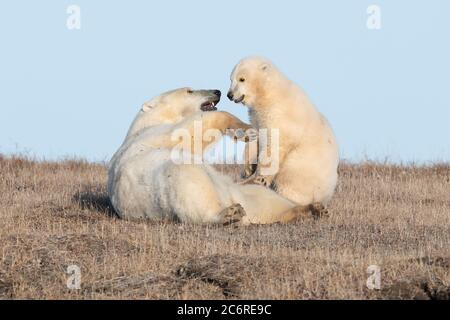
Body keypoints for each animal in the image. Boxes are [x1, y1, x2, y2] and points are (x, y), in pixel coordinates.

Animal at [109, 87, 326, 225]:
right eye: (189, 90)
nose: (217, 91)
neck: (146, 122)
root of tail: (227, 197)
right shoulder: (152, 134)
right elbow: (190, 131)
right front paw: (246, 130)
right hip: (169, 188)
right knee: (190, 184)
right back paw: (229, 213)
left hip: (242, 193)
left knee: (266, 202)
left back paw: (311, 209)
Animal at [227, 57, 340, 206]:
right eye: (231, 78)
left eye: (242, 79)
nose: (229, 95)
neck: (268, 93)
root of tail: (326, 195)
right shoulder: (257, 116)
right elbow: (256, 137)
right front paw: (248, 168)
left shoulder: (279, 115)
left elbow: (273, 145)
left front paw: (260, 178)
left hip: (300, 174)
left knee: (289, 187)